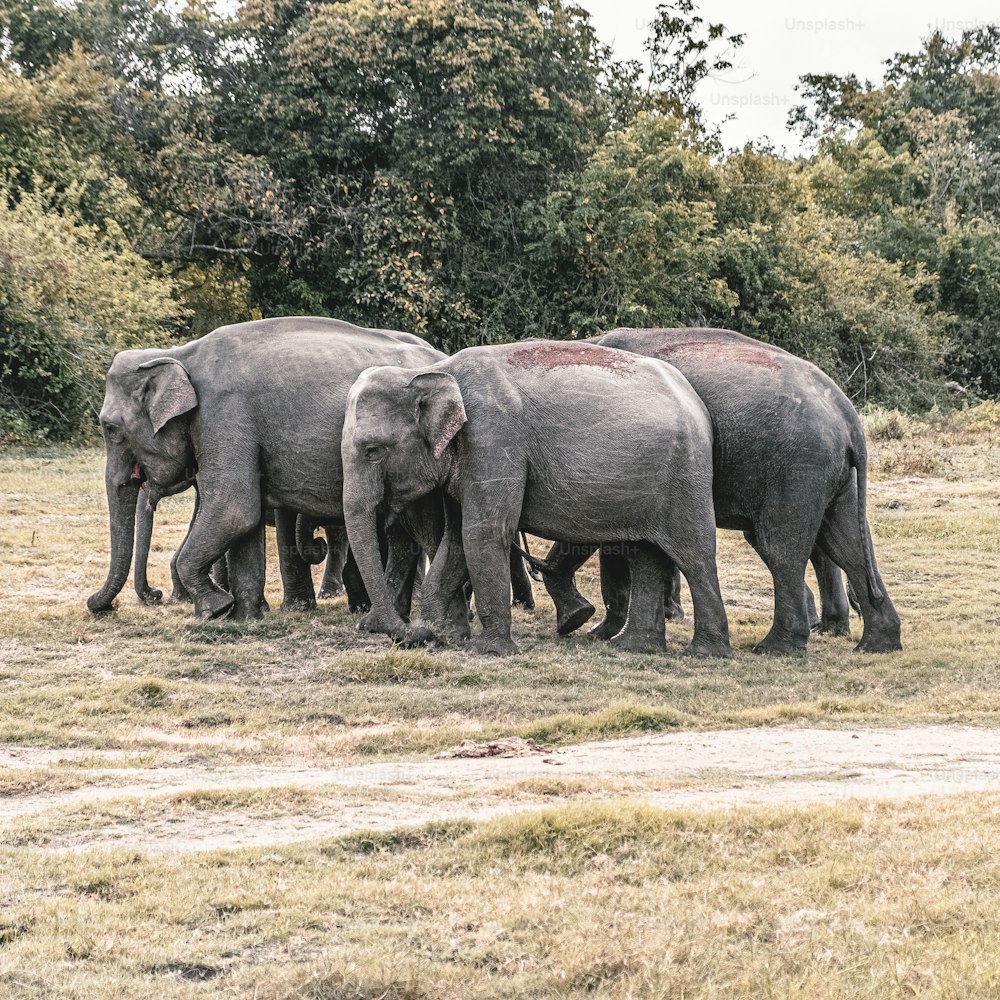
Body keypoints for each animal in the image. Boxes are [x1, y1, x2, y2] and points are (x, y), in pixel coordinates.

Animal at [87, 316, 450, 620]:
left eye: (110, 428)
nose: (155, 593)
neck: (178, 354)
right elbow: (245, 519)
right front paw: (245, 617)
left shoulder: (224, 415)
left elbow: (234, 508)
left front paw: (215, 609)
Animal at [340, 340, 732, 660]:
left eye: (373, 450)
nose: (406, 634)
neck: (439, 371)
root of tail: (696, 401)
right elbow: (456, 540)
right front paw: (438, 635)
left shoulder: (494, 438)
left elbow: (483, 533)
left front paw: (489, 650)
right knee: (645, 555)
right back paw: (634, 647)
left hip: (686, 476)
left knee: (693, 555)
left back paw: (705, 653)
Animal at [544, 328, 904, 656]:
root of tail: (847, 415)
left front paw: (598, 631)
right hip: (831, 473)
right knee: (847, 544)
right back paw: (874, 644)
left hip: (799, 466)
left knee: (780, 548)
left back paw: (777, 647)